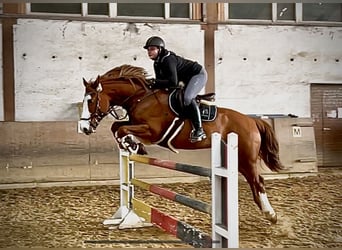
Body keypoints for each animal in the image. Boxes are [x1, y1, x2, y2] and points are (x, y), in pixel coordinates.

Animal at [79, 64, 284, 223]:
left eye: (91, 100)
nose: (83, 128)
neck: (140, 97)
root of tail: (252, 121)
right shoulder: (136, 124)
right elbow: (116, 126)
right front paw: (132, 145)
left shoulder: (153, 132)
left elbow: (121, 129)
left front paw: (132, 145)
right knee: (255, 182)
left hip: (245, 158)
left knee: (258, 181)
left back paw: (271, 214)